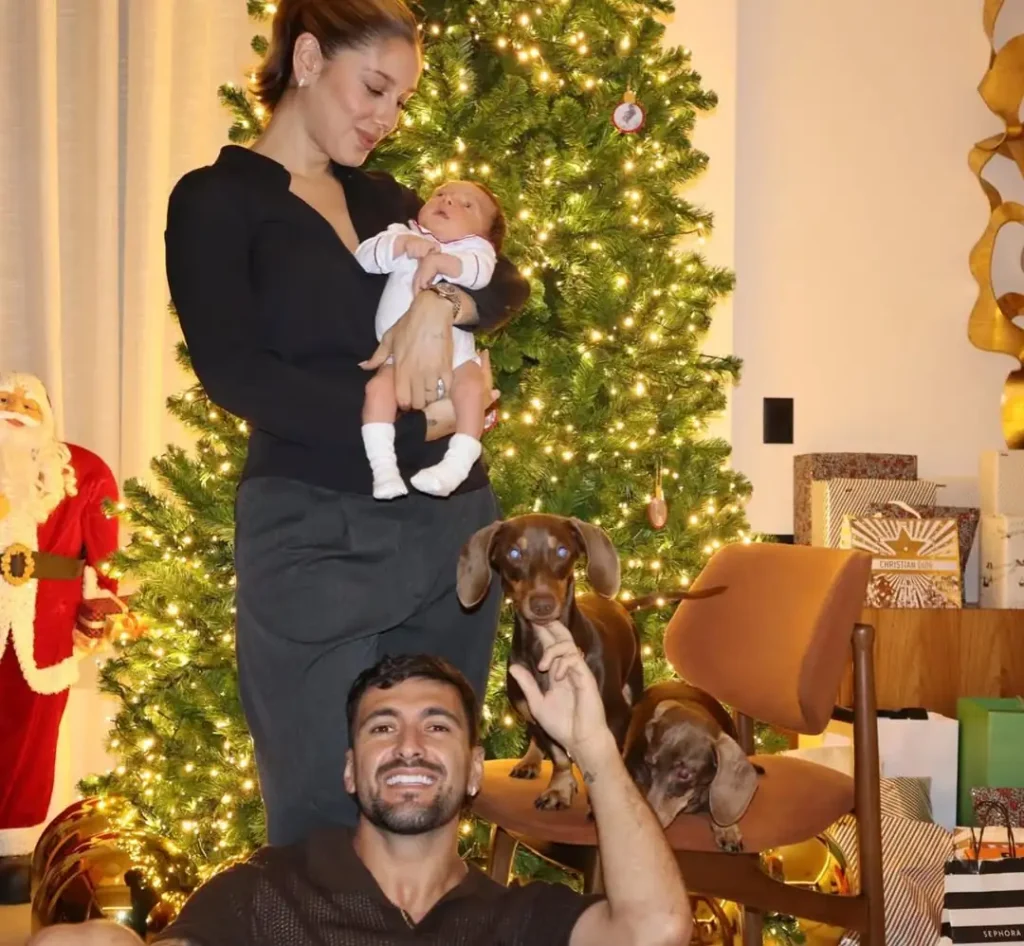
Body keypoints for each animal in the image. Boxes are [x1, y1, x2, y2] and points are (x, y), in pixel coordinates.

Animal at [456, 513, 702, 811]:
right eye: (514, 553)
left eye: (562, 551)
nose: (542, 605)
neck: (545, 651)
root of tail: (618, 603)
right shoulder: (538, 716)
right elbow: (559, 756)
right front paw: (559, 788)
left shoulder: (615, 717)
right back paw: (530, 760)